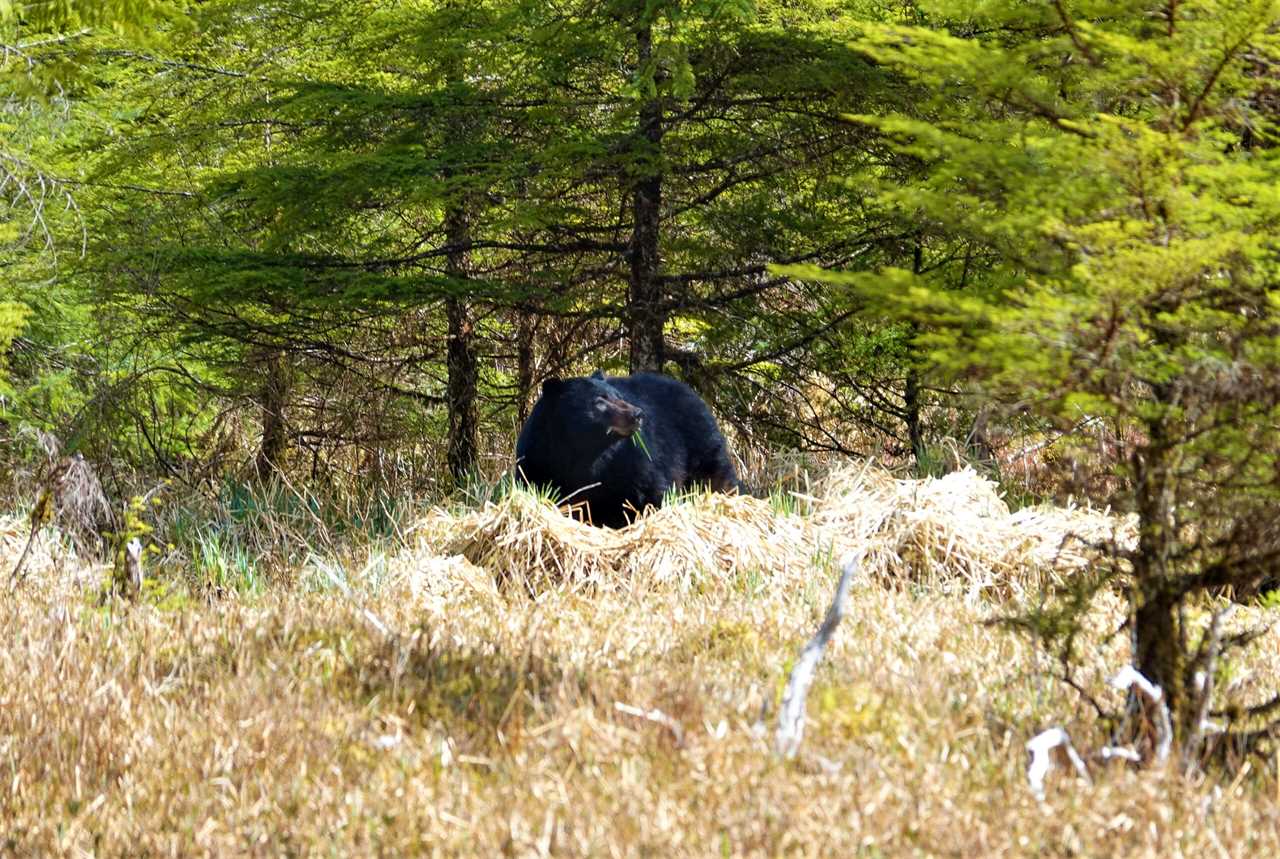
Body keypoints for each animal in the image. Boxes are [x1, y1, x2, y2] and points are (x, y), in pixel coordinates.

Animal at [514, 371, 747, 527]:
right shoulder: (537, 461)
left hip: (701, 443)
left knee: (717, 475)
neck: (585, 453)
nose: (638, 414)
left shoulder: (631, 460)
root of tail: (689, 390)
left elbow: (650, 491)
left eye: (619, 396)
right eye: (599, 402)